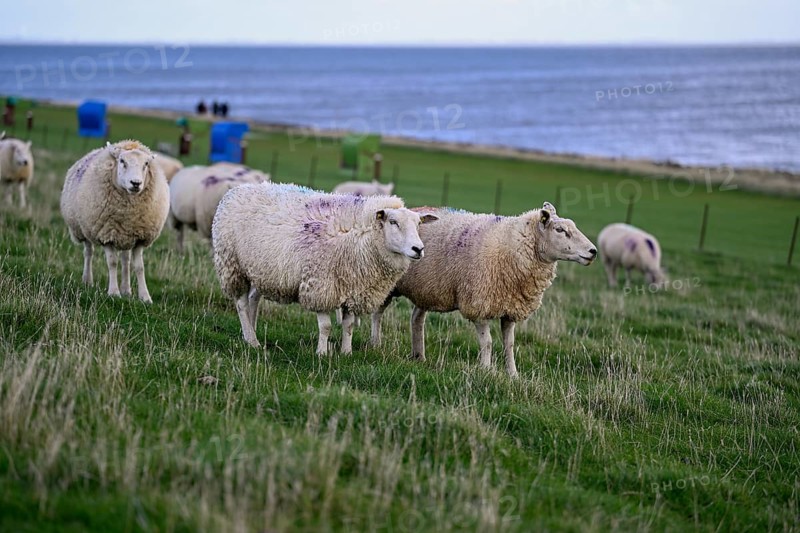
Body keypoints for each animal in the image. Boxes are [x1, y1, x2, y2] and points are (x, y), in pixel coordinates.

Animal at [60, 140, 169, 303]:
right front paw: (113, 293)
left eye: (146, 164)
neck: (128, 213)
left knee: (125, 260)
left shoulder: (140, 237)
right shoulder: (106, 234)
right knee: (88, 252)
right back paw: (88, 280)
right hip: (84, 229)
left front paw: (144, 297)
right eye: (122, 161)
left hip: (126, 236)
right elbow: (112, 263)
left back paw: (126, 290)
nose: (136, 183)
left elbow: (139, 267)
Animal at [212, 182, 438, 354]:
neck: (361, 237)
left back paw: (251, 332)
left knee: (253, 300)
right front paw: (321, 353)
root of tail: (237, 189)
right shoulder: (321, 287)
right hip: (232, 264)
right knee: (241, 303)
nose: (418, 249)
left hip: (261, 269)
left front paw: (346, 353)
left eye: (419, 224)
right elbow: (326, 326)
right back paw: (252, 340)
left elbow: (348, 326)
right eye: (393, 222)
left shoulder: (354, 289)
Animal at [370, 202, 596, 377]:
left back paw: (419, 356)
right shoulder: (479, 302)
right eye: (560, 230)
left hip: (427, 288)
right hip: (387, 281)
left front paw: (513, 375)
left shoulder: (510, 308)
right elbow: (487, 342)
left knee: (417, 319)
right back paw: (375, 344)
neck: (514, 245)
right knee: (378, 313)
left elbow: (509, 344)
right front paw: (486, 371)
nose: (593, 251)